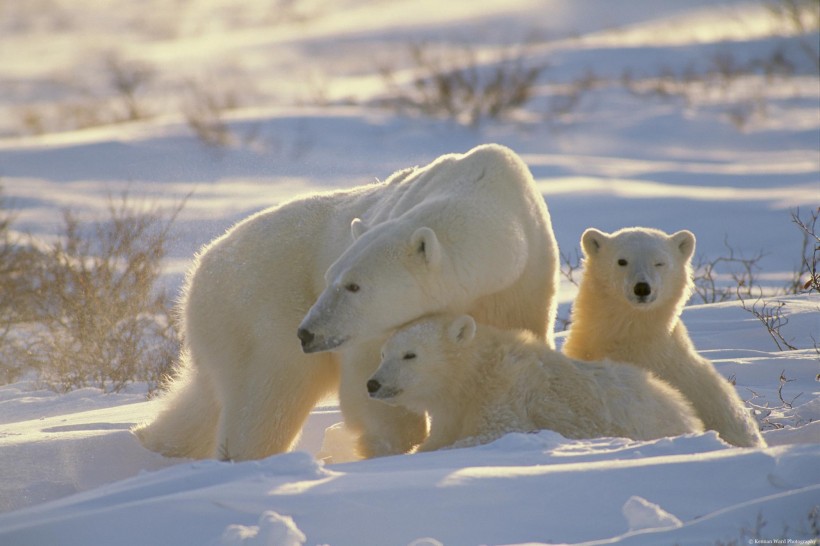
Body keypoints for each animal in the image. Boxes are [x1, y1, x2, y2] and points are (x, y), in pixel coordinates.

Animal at [135, 143, 560, 460]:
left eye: (353, 286)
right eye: (330, 278)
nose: (307, 332)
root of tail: (201, 265)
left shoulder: (523, 285)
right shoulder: (371, 331)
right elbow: (369, 379)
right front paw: (394, 444)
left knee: (204, 400)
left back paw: (152, 441)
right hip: (258, 309)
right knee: (269, 396)